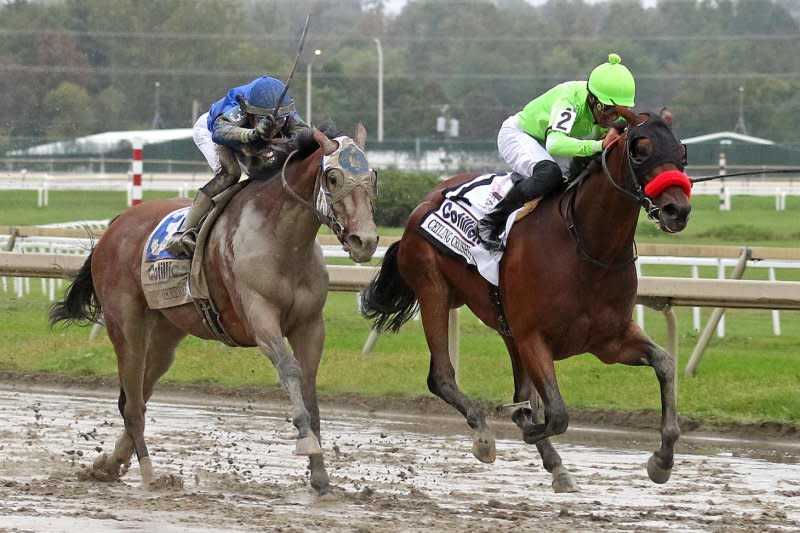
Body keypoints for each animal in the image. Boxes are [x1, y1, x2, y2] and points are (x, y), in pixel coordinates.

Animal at [51, 123, 380, 494]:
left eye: (373, 176)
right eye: (334, 177)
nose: (365, 241)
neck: (283, 241)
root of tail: (116, 225)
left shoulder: (310, 325)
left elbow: (310, 388)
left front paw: (321, 476)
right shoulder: (259, 316)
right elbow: (290, 370)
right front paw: (306, 442)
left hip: (166, 333)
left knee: (136, 397)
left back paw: (109, 463)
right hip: (126, 326)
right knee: (133, 405)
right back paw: (151, 475)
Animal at [364, 107, 692, 490]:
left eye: (682, 151)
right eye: (640, 149)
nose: (677, 210)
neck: (587, 246)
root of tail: (424, 203)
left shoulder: (609, 341)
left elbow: (665, 364)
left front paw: (662, 459)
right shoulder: (533, 337)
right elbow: (556, 413)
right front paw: (528, 429)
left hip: (503, 325)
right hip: (435, 291)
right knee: (441, 376)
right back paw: (484, 434)